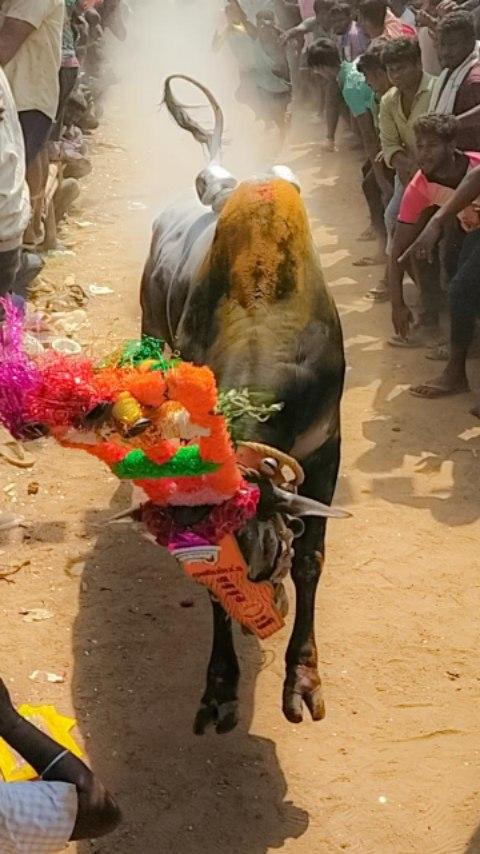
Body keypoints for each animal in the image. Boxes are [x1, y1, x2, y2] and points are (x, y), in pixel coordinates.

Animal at [140, 77, 344, 736]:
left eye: (272, 557)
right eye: (229, 565)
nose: (263, 613)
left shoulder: (326, 450)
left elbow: (313, 561)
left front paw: (302, 677)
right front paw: (221, 687)